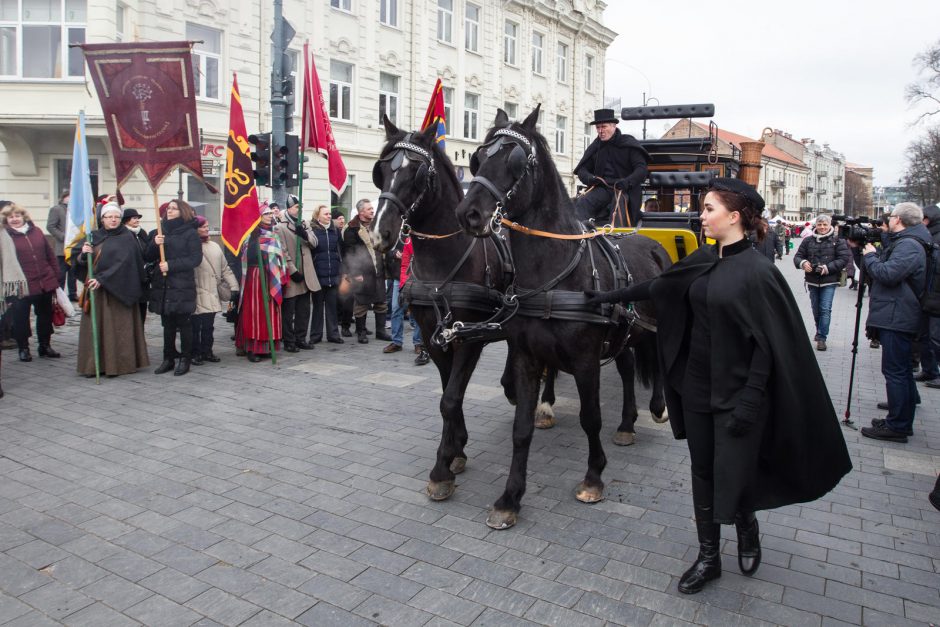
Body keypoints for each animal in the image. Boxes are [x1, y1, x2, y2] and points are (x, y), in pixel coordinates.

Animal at [454, 108, 668, 528]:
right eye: (478, 159)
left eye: (516, 161)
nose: (468, 214)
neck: (553, 273)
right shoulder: (525, 357)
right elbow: (521, 429)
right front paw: (510, 497)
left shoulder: (585, 361)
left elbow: (590, 417)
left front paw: (594, 478)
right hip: (624, 333)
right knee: (628, 367)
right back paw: (627, 423)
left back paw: (657, 408)